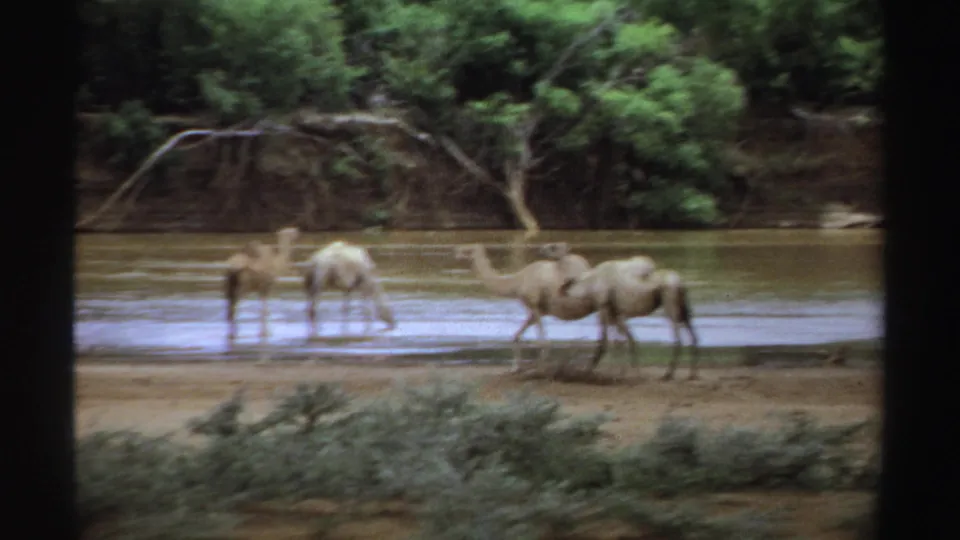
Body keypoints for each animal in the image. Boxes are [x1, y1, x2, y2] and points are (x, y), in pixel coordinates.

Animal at [453, 243, 597, 373]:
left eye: (466, 250)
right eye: (461, 249)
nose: (455, 254)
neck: (518, 282)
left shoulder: (534, 305)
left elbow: (543, 342)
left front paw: (539, 371)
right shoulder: (541, 311)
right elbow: (516, 337)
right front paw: (515, 368)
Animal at [546, 244, 700, 380]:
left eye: (554, 247)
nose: (541, 250)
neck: (588, 285)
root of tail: (680, 283)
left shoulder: (604, 308)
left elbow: (605, 342)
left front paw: (587, 373)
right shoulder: (616, 312)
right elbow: (624, 341)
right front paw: (623, 373)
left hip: (670, 306)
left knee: (678, 338)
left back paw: (668, 374)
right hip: (683, 309)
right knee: (693, 336)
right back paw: (692, 374)